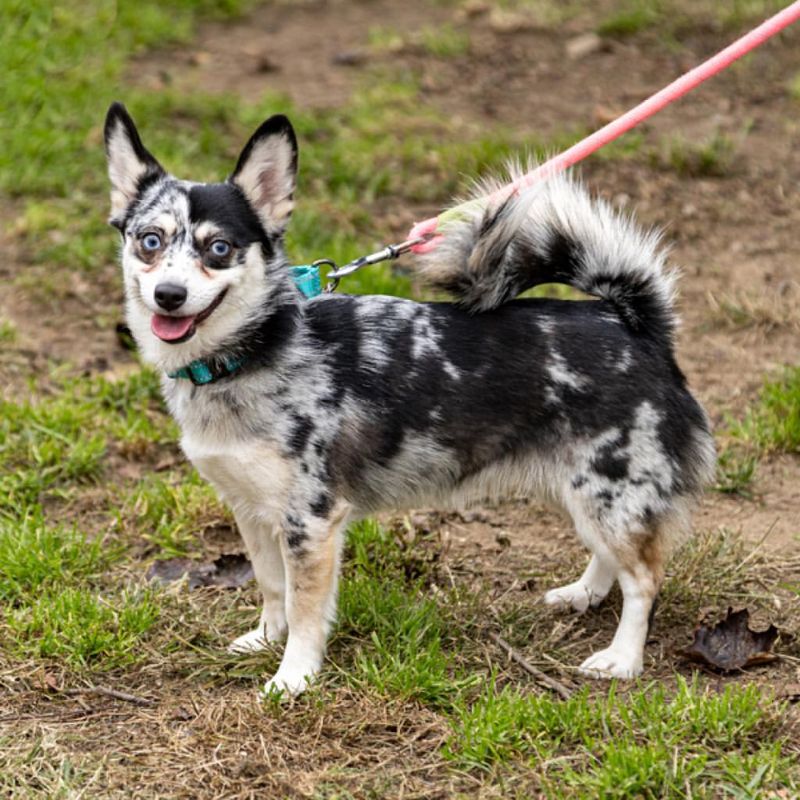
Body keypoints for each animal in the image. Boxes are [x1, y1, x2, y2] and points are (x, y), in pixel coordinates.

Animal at [103, 101, 716, 692]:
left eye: (219, 248)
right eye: (149, 241)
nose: (169, 294)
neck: (253, 351)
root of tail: (634, 322)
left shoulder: (311, 520)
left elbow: (305, 609)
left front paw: (293, 676)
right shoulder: (251, 509)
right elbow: (272, 586)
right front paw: (264, 640)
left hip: (611, 491)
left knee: (643, 578)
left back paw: (623, 658)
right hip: (584, 490)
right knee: (612, 558)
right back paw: (583, 594)